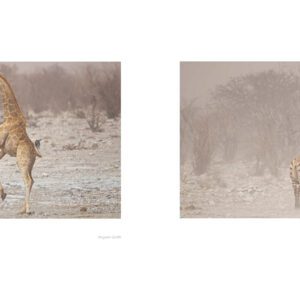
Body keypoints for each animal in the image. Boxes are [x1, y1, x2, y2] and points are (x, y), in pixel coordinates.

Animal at [0, 75, 41, 216]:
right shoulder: (3, 150)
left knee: (28, 180)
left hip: (21, 161)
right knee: (32, 180)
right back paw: (22, 209)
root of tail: (35, 152)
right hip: (29, 164)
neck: (8, 116)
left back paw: (27, 210)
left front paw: (3, 194)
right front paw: (3, 194)